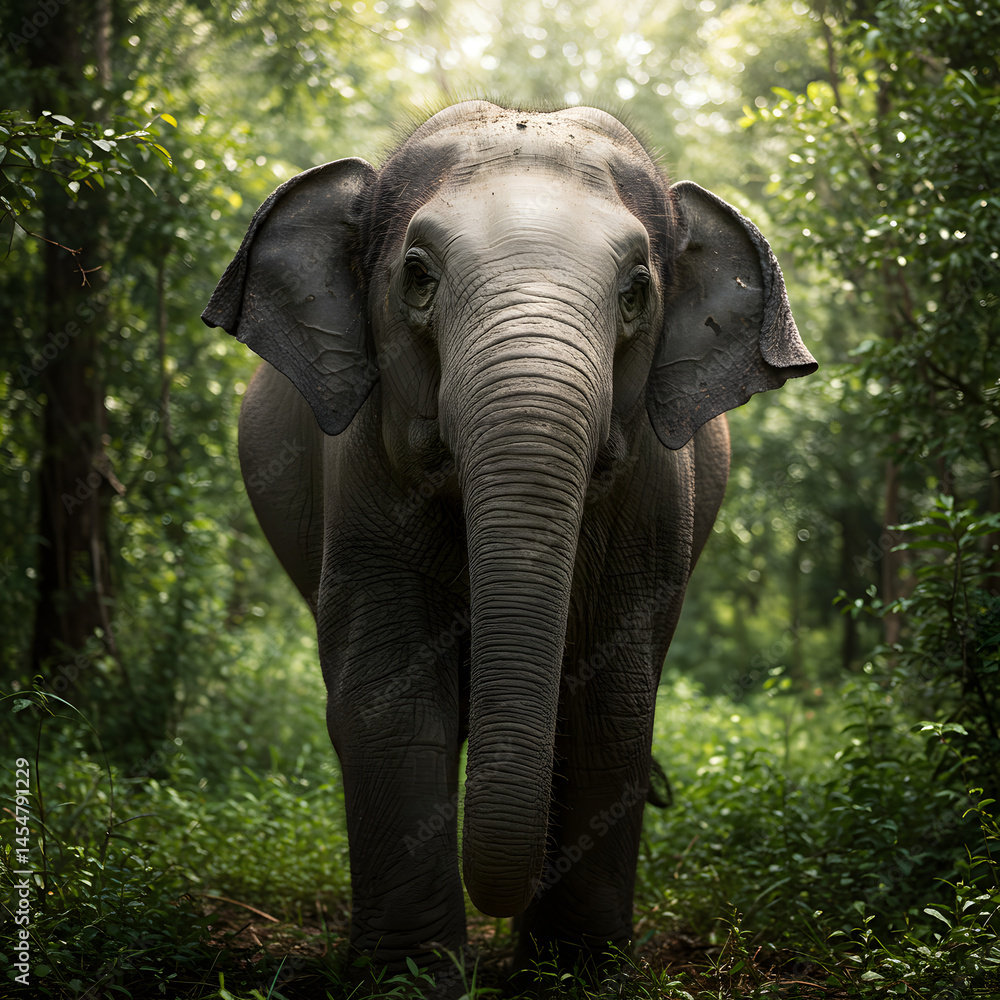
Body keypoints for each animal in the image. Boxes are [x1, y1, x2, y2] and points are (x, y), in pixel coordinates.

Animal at [202, 100, 816, 986]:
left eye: (637, 290)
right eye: (417, 276)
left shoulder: (653, 501)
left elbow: (608, 700)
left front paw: (576, 970)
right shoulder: (360, 475)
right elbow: (388, 694)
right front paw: (410, 977)